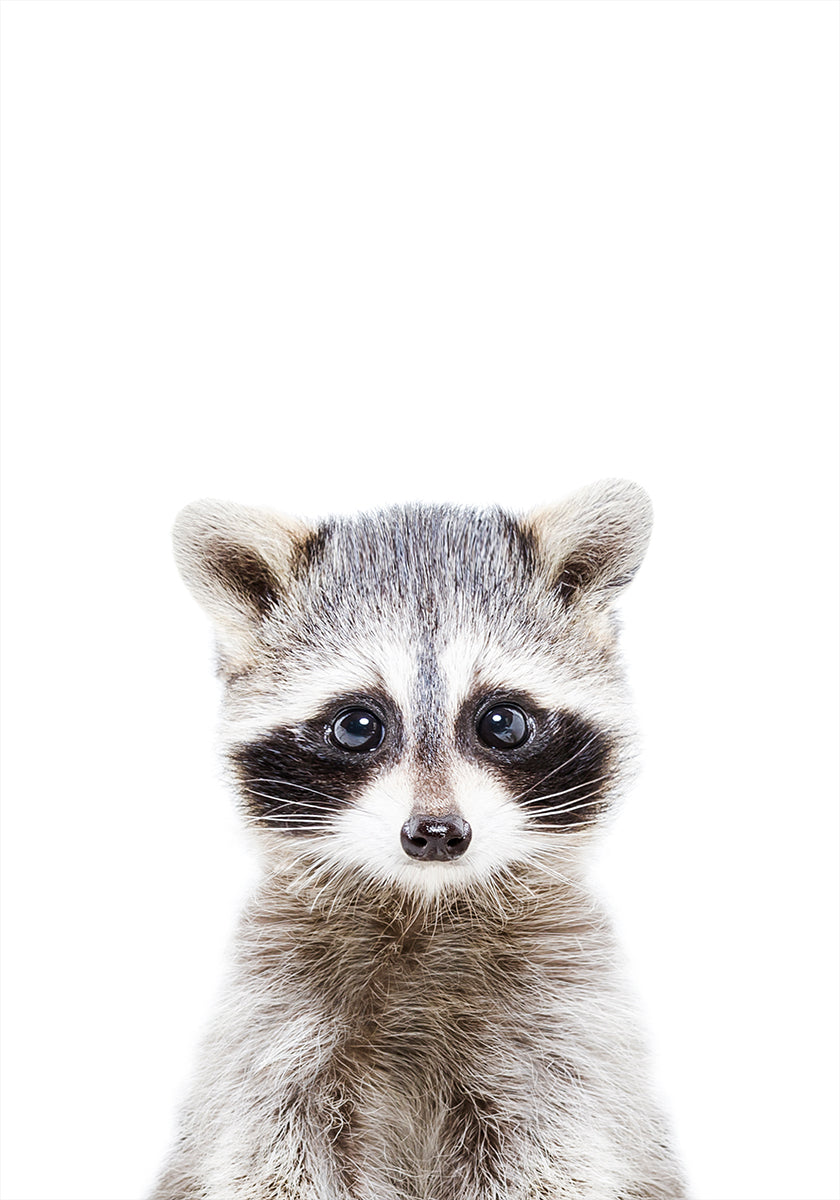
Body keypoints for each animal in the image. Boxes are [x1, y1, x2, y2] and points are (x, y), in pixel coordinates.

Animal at [151, 480, 686, 1200]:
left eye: (502, 722)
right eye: (357, 725)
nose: (436, 833)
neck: (425, 905)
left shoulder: (564, 1032)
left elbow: (557, 1155)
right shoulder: (273, 1027)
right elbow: (269, 1155)